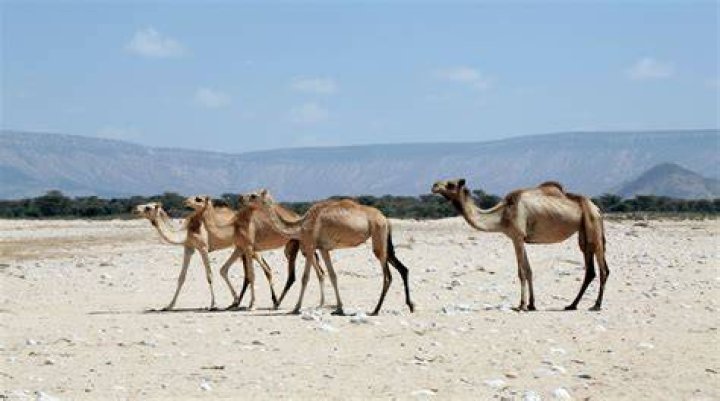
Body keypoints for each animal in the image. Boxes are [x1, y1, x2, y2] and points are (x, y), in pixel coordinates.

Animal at [132, 201, 275, 310]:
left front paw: (213, 304)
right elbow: (181, 277)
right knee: (228, 270)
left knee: (266, 269)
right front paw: (169, 305)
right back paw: (238, 302)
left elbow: (209, 275)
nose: (135, 209)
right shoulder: (188, 248)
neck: (187, 231)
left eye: (148, 207)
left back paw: (272, 302)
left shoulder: (203, 247)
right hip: (240, 247)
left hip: (249, 245)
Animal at [184, 195, 325, 310]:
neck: (232, 226)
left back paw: (278, 303)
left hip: (294, 245)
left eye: (198, 199)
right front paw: (235, 302)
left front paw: (251, 304)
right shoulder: (240, 247)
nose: (186, 201)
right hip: (300, 246)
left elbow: (251, 275)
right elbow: (226, 270)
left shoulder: (248, 248)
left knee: (291, 276)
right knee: (318, 269)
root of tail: (299, 218)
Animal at [243, 190, 414, 316]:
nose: (242, 198)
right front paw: (339, 308)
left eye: (253, 195)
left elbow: (305, 278)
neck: (301, 226)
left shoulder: (310, 246)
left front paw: (296, 308)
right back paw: (410, 305)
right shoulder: (323, 248)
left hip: (378, 237)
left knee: (388, 276)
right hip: (384, 240)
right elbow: (332, 275)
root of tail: (385, 219)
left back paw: (375, 310)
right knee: (402, 268)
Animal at [431, 179, 609, 311]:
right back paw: (572, 305)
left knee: (603, 269)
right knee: (590, 270)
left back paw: (596, 305)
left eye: (451, 184)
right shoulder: (522, 239)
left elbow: (521, 272)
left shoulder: (516, 237)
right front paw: (531, 304)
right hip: (584, 233)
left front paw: (521, 305)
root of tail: (597, 208)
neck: (502, 216)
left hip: (593, 227)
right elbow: (529, 271)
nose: (434, 185)